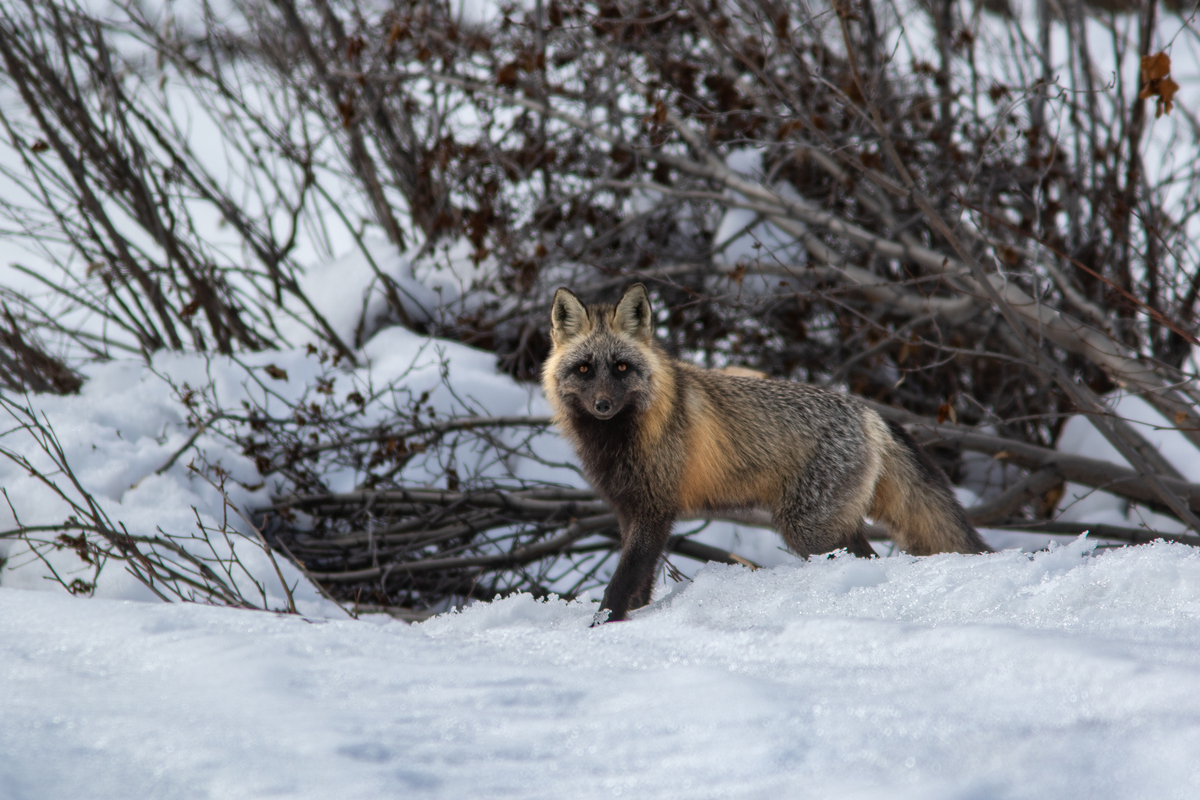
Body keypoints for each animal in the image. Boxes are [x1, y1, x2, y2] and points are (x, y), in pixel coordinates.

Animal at [542, 283, 992, 622]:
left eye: (621, 368)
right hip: (829, 527)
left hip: (809, 529)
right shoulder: (630, 509)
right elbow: (641, 584)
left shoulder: (654, 510)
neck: (620, 440)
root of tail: (868, 412)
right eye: (584, 369)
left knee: (866, 559)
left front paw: (602, 625)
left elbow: (621, 583)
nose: (602, 405)